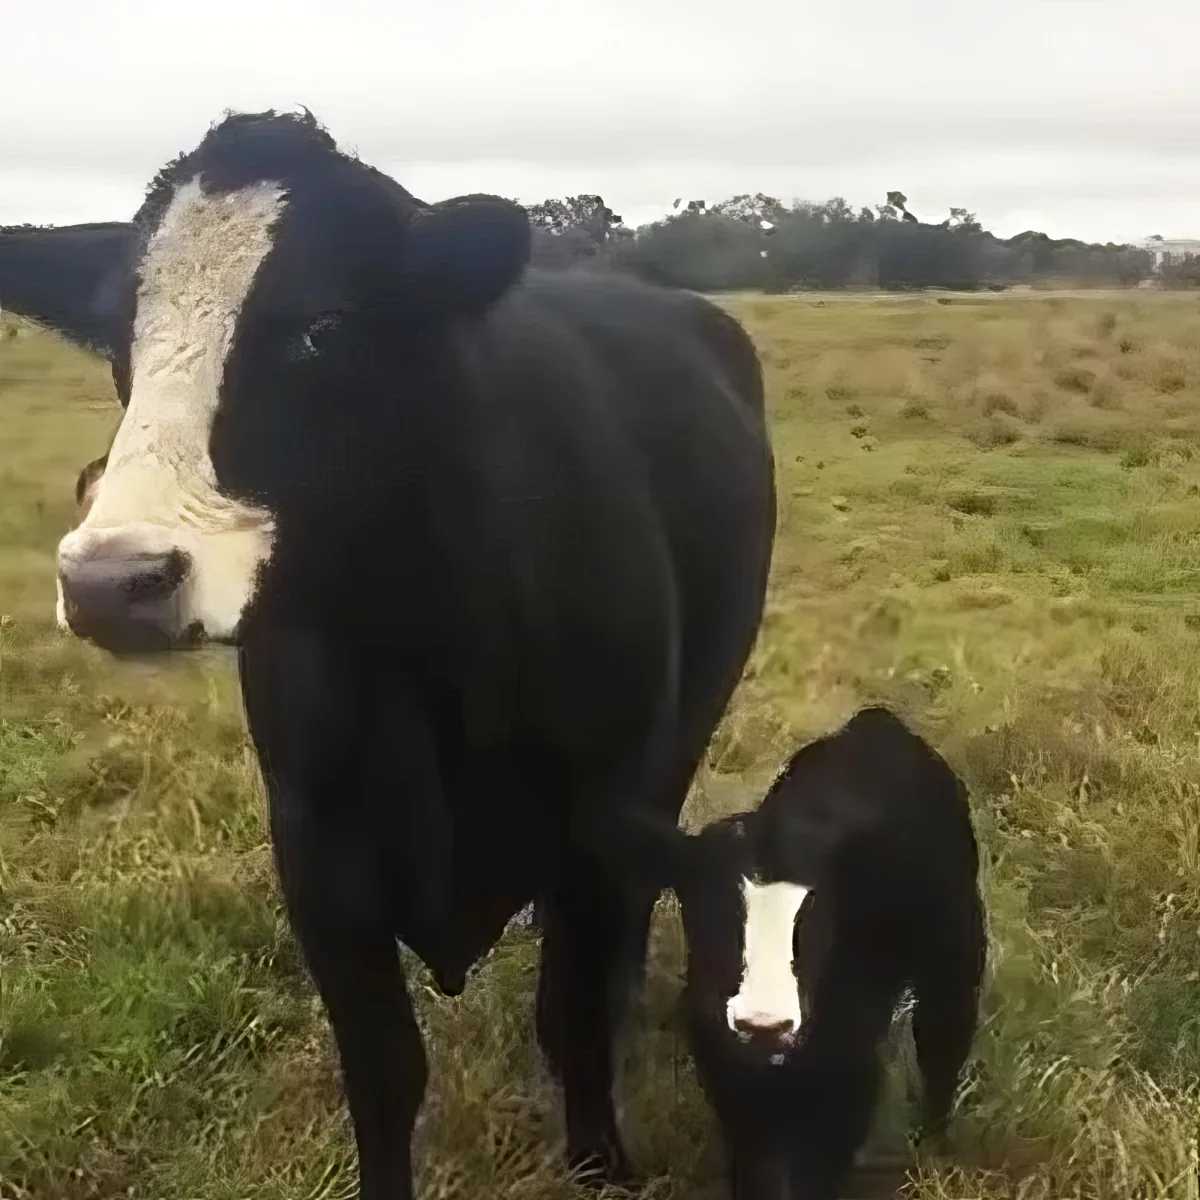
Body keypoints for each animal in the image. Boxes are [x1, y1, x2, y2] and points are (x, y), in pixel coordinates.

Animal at [0, 108, 778, 1199]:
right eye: (121, 338)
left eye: (322, 327)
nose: (114, 581)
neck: (429, 656)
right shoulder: (318, 846)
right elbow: (382, 1069)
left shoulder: (600, 818)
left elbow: (573, 1023)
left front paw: (602, 1164)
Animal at [631, 707, 987, 1200]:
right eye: (707, 913)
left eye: (814, 918)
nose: (764, 1023)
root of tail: (878, 721)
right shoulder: (722, 1052)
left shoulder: (849, 1049)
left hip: (955, 951)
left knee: (943, 1043)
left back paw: (931, 1150)